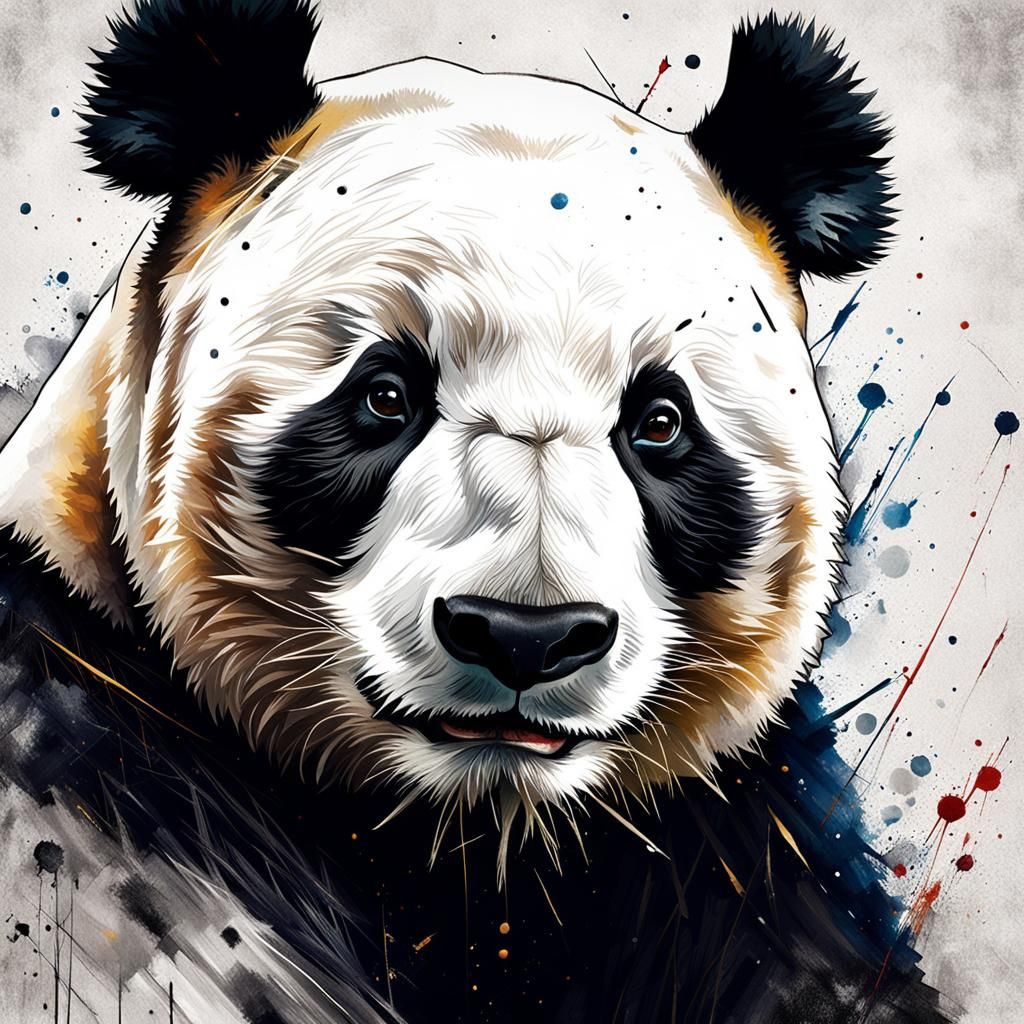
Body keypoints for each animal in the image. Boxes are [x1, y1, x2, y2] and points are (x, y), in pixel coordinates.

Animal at [0, 2, 955, 1022]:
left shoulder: (734, 841)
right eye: (385, 396)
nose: (525, 636)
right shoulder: (104, 749)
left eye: (659, 423)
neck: (477, 843)